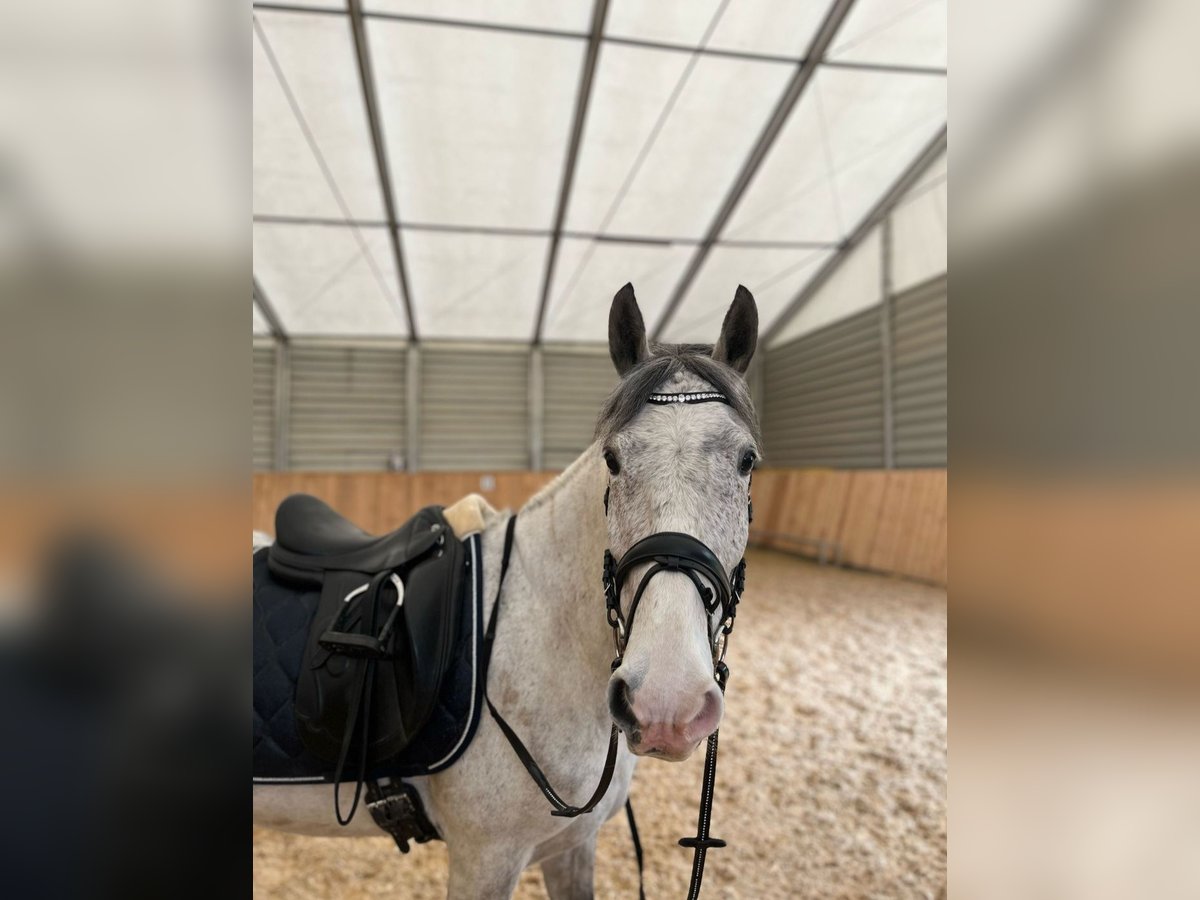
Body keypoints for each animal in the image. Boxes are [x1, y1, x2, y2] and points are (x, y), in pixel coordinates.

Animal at [254, 282, 761, 899]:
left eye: (747, 461)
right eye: (613, 459)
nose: (667, 703)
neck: (537, 637)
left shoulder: (570, 846)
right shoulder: (486, 859)